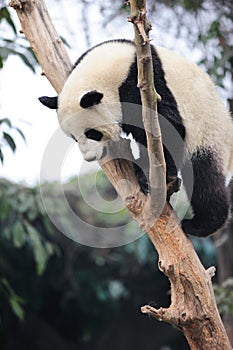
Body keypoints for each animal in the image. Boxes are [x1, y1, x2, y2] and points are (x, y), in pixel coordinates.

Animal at [39, 39, 233, 238]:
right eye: (74, 138)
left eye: (92, 133)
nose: (89, 157)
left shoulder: (145, 86)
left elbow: (168, 128)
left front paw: (152, 176)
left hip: (209, 134)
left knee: (204, 177)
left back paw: (201, 224)